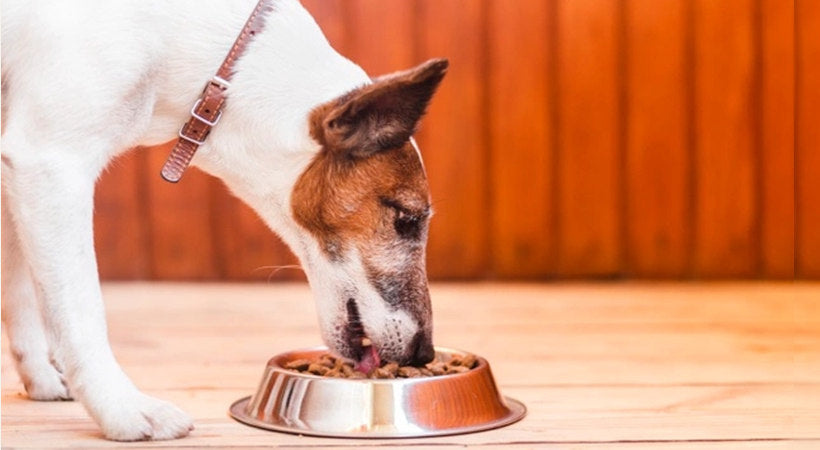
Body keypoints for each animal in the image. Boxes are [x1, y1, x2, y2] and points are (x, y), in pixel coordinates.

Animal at [1, 0, 448, 440]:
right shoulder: (51, 164)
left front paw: (40, 377)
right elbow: (81, 312)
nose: (423, 353)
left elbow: (19, 291)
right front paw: (122, 409)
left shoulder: (17, 177)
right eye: (407, 219)